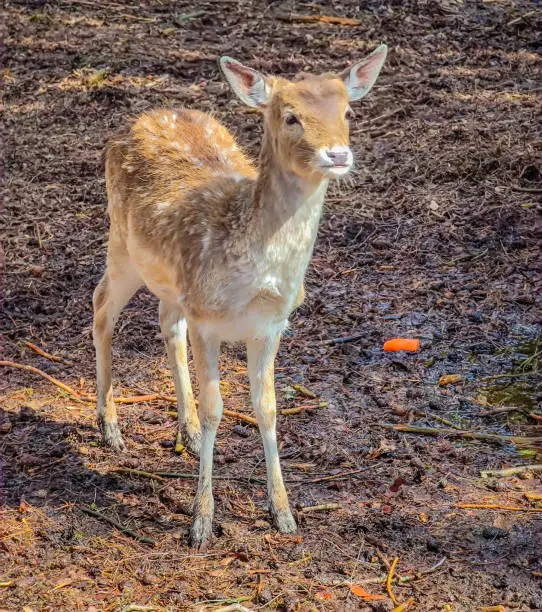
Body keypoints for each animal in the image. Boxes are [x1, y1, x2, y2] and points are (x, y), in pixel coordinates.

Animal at [94, 45, 392, 548]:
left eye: (348, 112)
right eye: (290, 116)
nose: (337, 154)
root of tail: (139, 120)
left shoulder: (270, 325)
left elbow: (267, 409)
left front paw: (283, 513)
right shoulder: (207, 322)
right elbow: (217, 408)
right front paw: (200, 523)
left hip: (172, 281)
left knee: (165, 320)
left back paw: (187, 431)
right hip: (123, 243)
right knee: (100, 307)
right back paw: (110, 427)